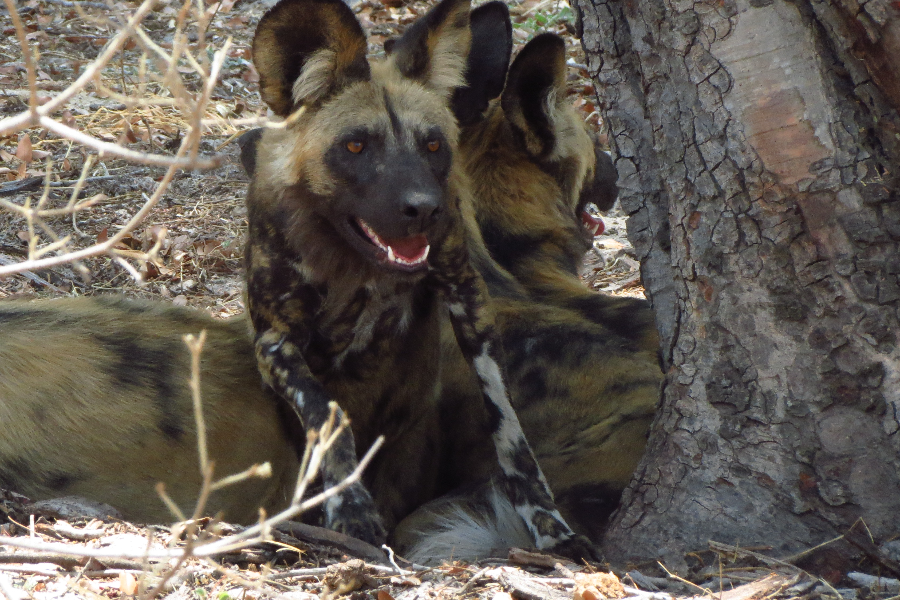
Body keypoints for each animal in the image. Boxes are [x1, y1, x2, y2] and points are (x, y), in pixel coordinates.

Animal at [243, 0, 592, 556]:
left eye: (432, 146)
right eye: (356, 147)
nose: (424, 209)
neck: (359, 268)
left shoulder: (469, 300)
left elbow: (510, 432)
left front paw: (550, 525)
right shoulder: (274, 342)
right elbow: (327, 413)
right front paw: (352, 512)